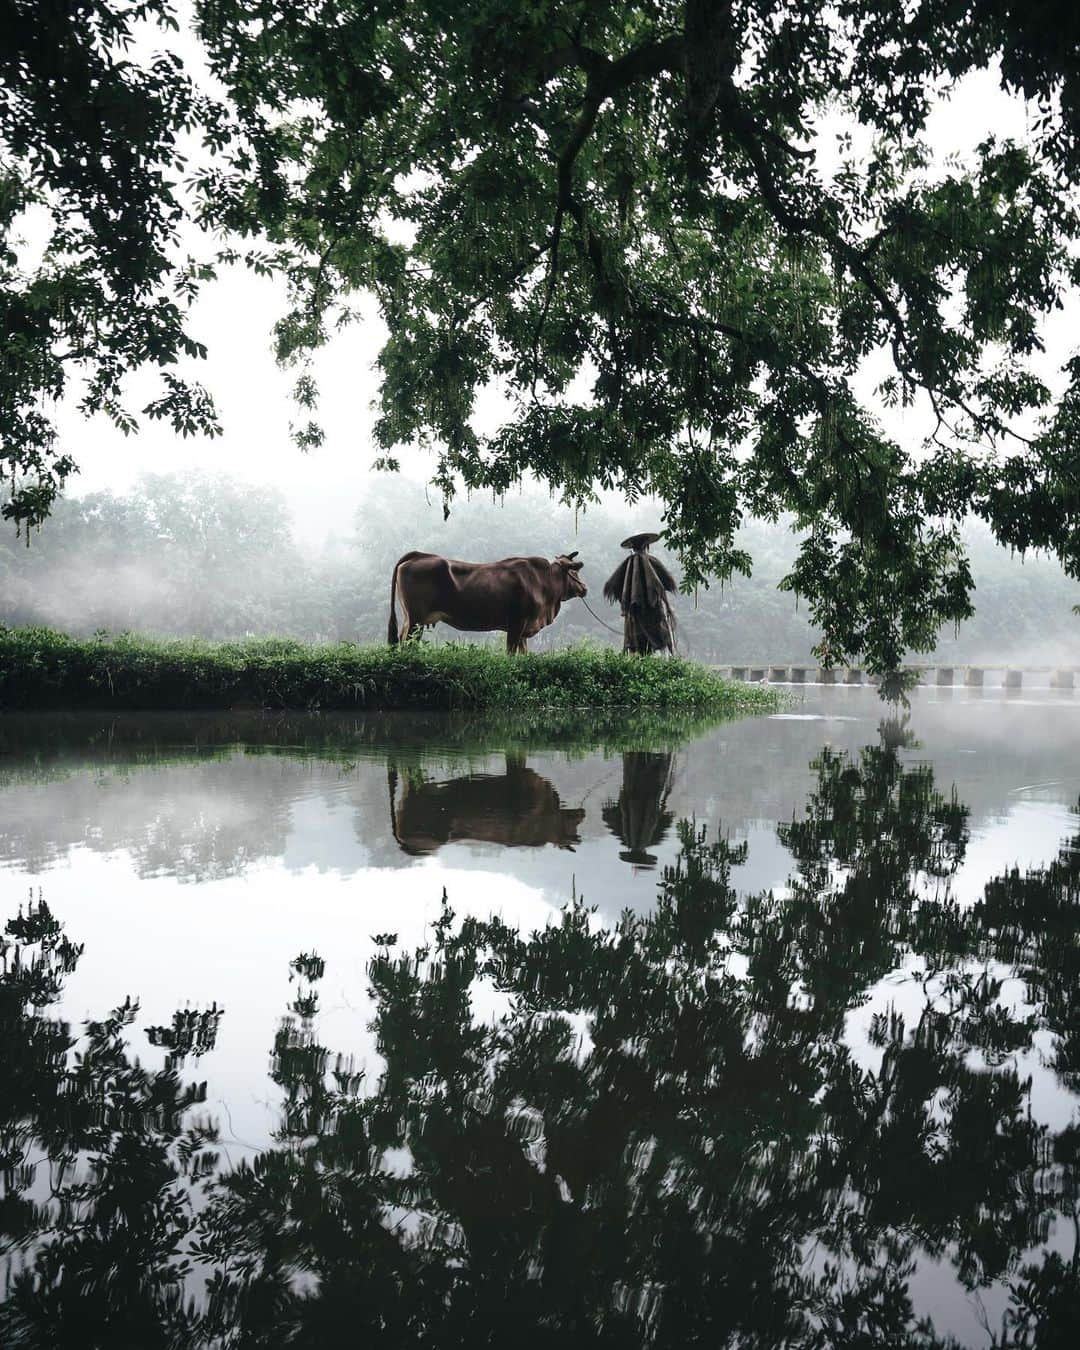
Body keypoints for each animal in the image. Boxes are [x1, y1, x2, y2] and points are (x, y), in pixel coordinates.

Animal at [388, 548, 585, 653]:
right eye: (574, 571)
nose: (585, 588)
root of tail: (419, 555)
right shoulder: (516, 624)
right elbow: (511, 654)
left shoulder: (523, 629)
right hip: (415, 619)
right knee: (406, 642)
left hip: (411, 620)